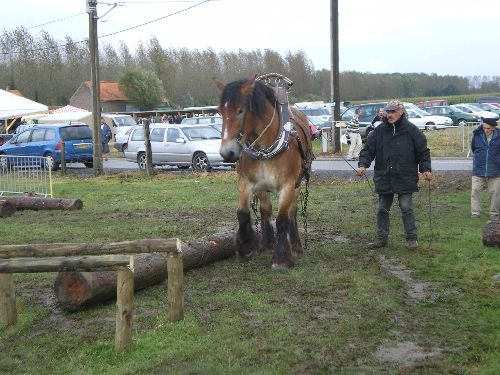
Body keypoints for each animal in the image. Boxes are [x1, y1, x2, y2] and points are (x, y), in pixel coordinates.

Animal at [214, 75, 312, 268]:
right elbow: (243, 213)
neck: (264, 147)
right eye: (220, 112)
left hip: (298, 183)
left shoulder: (288, 185)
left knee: (292, 212)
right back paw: (267, 243)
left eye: (240, 110)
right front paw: (245, 246)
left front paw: (281, 258)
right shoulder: (246, 183)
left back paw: (295, 245)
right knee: (266, 209)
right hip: (262, 188)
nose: (227, 153)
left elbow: (282, 219)